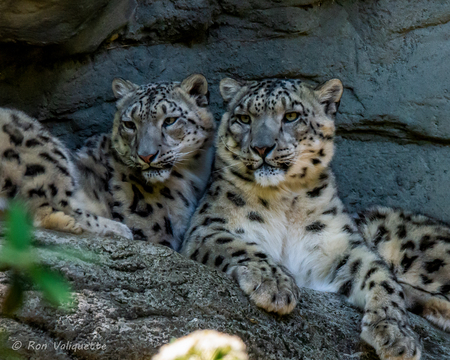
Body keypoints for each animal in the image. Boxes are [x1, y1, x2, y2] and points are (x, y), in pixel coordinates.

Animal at [0, 71, 214, 249]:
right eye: (130, 124)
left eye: (170, 120)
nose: (146, 156)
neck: (192, 174)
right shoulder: (154, 233)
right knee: (44, 207)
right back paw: (117, 229)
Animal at [180, 77, 440, 358]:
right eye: (244, 118)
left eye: (291, 116)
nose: (261, 147)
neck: (284, 200)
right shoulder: (207, 227)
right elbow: (241, 246)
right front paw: (275, 285)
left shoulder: (344, 246)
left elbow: (382, 279)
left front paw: (396, 334)